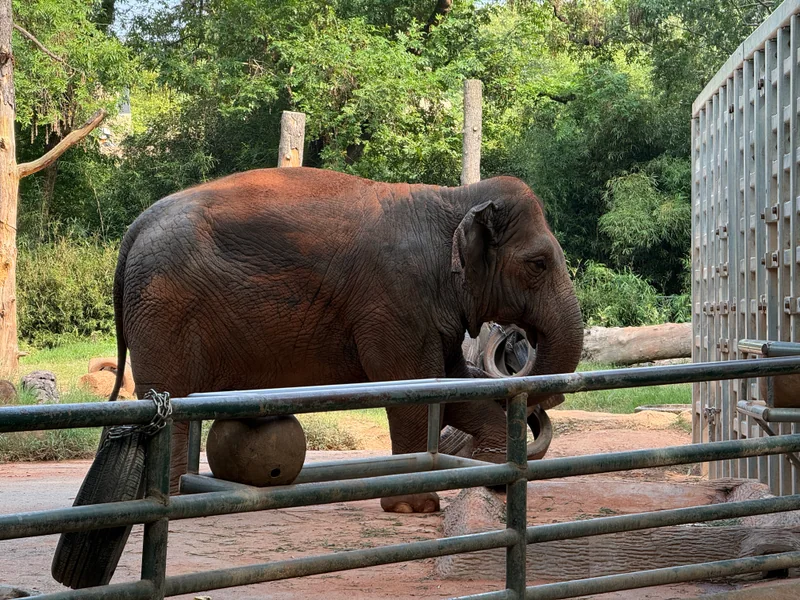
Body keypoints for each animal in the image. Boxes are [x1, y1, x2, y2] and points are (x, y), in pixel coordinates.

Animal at [108, 166, 584, 513]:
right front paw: (415, 507)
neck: (453, 199)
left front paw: (491, 473)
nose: (515, 338)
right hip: (164, 308)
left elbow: (449, 386)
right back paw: (169, 504)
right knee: (172, 402)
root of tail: (135, 227)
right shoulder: (396, 300)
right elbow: (411, 389)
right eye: (539, 264)